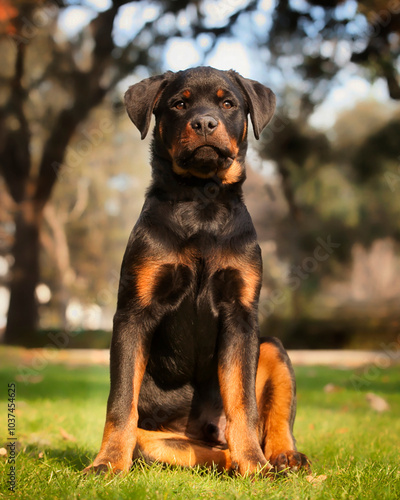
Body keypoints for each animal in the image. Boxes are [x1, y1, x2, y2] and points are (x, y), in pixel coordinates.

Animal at [84, 65, 310, 476]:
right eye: (179, 103)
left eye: (228, 103)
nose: (204, 123)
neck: (201, 205)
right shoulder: (133, 313)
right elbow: (120, 401)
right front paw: (107, 463)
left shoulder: (240, 315)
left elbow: (243, 402)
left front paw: (254, 465)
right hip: (160, 439)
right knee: (182, 449)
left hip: (272, 347)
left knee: (272, 419)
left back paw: (281, 457)